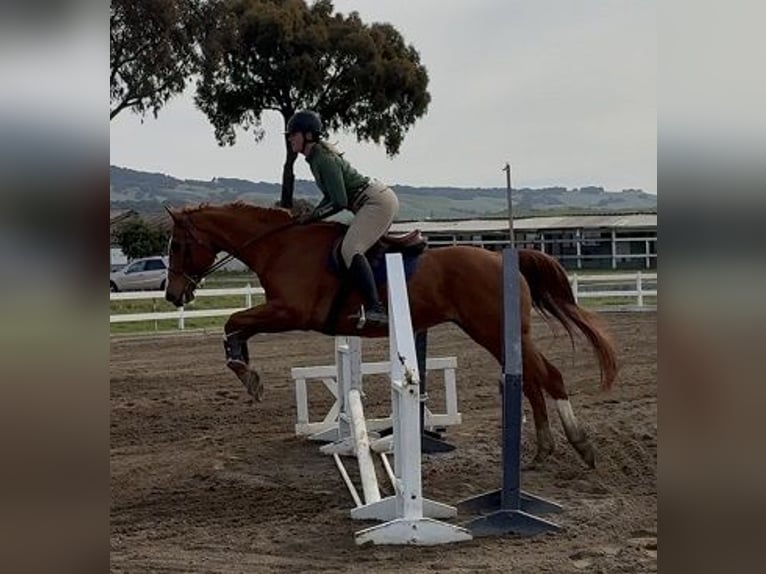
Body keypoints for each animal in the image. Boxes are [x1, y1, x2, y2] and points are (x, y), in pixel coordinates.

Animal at [164, 202, 618, 467]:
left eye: (178, 246)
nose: (172, 294)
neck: (280, 246)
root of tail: (504, 258)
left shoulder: (290, 311)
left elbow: (233, 321)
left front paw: (247, 374)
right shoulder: (282, 311)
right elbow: (236, 323)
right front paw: (246, 371)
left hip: (491, 329)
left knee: (549, 376)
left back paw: (580, 444)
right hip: (498, 333)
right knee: (531, 380)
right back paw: (543, 449)